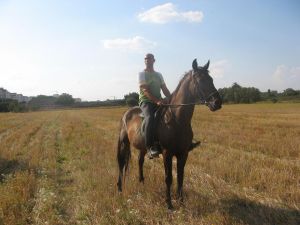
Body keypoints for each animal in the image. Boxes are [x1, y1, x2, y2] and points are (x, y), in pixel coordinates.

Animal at [117, 58, 223, 209]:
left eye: (211, 79)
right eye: (200, 80)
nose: (217, 102)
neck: (177, 120)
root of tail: (127, 112)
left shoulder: (183, 153)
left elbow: (180, 177)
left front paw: (181, 201)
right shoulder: (167, 153)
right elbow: (168, 178)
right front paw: (169, 204)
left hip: (143, 147)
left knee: (140, 161)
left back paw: (142, 182)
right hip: (123, 142)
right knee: (121, 164)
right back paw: (120, 188)